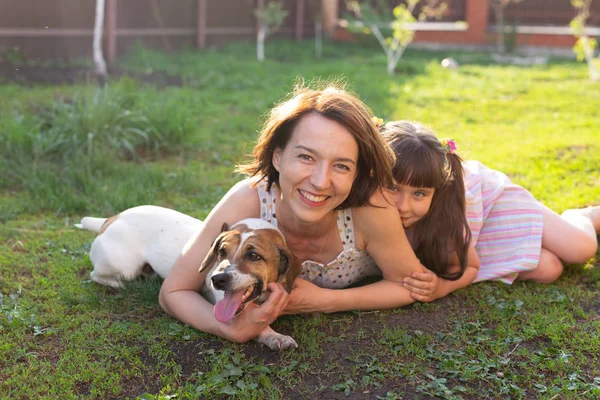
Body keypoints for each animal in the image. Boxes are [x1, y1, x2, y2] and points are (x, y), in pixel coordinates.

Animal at [75, 206, 302, 350]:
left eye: (254, 256)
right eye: (221, 251)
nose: (217, 279)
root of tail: (112, 218)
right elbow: (259, 326)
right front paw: (273, 335)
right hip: (124, 266)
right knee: (97, 275)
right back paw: (120, 284)